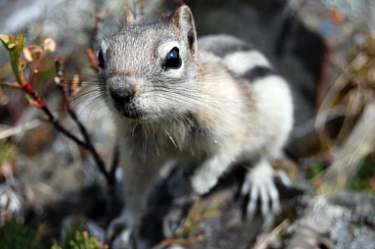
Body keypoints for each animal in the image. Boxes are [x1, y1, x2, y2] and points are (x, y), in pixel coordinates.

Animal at [93, 4, 294, 246]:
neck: (164, 119)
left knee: (262, 156)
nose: (120, 92)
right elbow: (135, 189)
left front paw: (196, 185)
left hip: (278, 125)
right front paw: (126, 223)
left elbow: (221, 157)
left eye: (173, 57)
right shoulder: (137, 155)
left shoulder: (230, 127)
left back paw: (258, 181)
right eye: (100, 56)